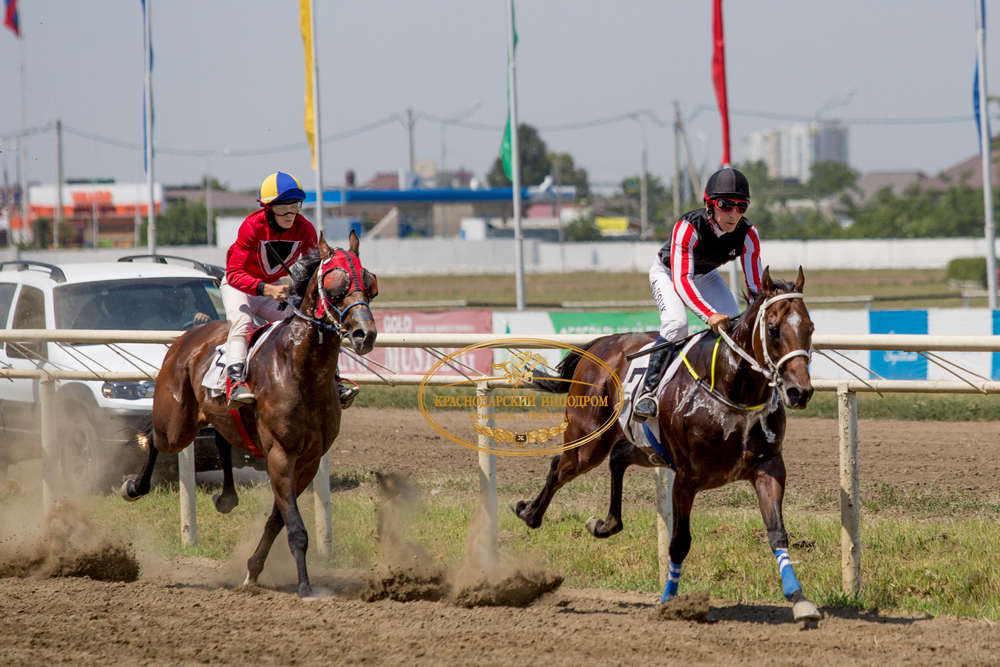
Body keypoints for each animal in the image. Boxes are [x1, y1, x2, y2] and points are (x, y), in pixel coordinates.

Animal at [121, 231, 376, 600]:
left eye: (370, 283)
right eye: (335, 283)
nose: (364, 334)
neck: (301, 369)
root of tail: (188, 336)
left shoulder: (310, 459)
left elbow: (279, 518)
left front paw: (253, 570)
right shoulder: (281, 453)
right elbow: (295, 526)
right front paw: (305, 586)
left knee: (223, 440)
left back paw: (227, 497)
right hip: (177, 425)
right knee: (155, 437)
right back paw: (135, 486)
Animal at [516, 266, 820, 620]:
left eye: (810, 327)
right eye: (772, 330)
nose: (800, 392)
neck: (733, 389)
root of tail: (601, 345)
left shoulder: (768, 468)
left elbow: (777, 533)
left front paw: (799, 599)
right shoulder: (686, 478)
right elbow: (679, 542)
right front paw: (670, 601)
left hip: (646, 447)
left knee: (618, 456)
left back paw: (605, 524)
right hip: (587, 440)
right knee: (560, 467)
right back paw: (528, 512)